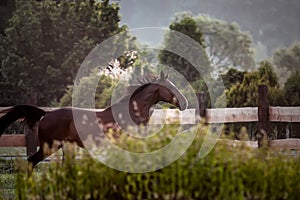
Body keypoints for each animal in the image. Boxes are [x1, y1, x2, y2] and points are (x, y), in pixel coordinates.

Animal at [0, 72, 188, 167]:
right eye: (169, 88)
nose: (185, 102)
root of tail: (46, 113)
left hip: (66, 147)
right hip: (49, 146)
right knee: (31, 161)